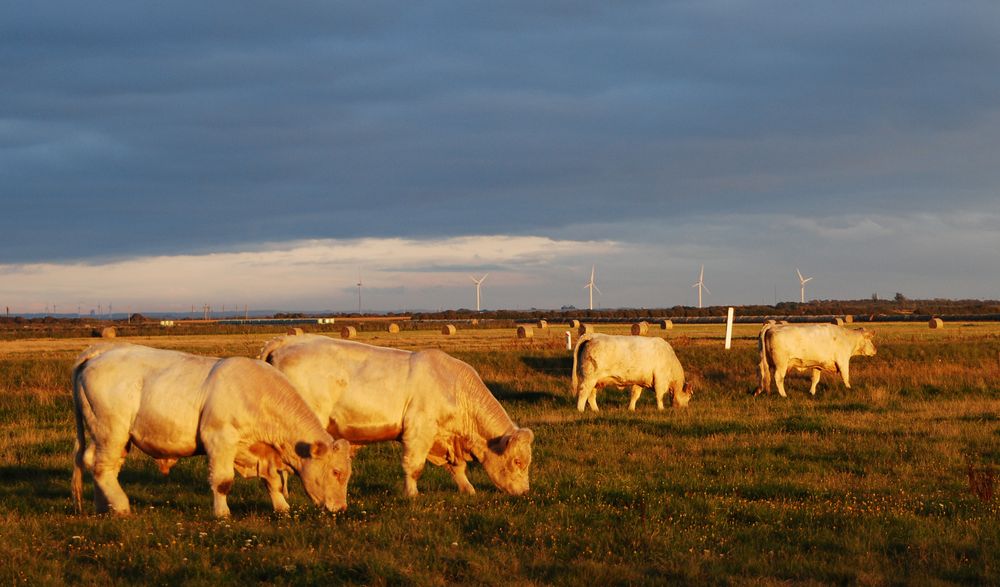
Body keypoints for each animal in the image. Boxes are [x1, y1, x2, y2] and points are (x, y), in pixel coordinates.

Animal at [70, 344, 352, 520]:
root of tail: (101, 353)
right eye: (336, 472)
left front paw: (282, 507)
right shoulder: (219, 440)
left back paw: (103, 506)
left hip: (106, 435)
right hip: (111, 431)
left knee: (96, 463)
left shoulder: (259, 450)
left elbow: (271, 480)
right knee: (101, 466)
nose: (341, 508)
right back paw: (120, 506)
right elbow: (223, 481)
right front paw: (222, 513)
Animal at [262, 338, 536, 498]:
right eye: (518, 461)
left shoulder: (446, 438)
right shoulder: (419, 430)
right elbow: (413, 466)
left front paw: (468, 489)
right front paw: (412, 495)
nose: (525, 492)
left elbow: (457, 468)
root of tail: (289, 342)